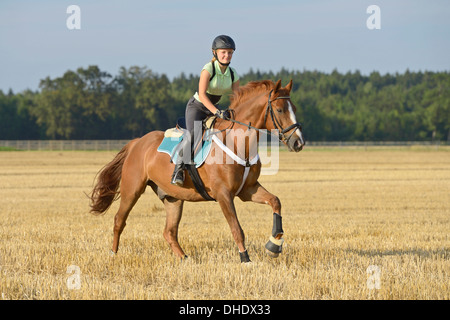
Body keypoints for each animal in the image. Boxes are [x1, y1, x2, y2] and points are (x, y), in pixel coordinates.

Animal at [89, 79, 304, 262]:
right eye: (279, 109)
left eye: (294, 109)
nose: (298, 143)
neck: (238, 143)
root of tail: (137, 142)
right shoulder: (224, 194)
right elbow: (237, 228)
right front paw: (245, 259)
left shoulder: (247, 190)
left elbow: (275, 202)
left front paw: (274, 245)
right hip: (132, 189)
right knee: (119, 220)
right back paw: (113, 254)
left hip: (173, 198)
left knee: (169, 232)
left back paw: (185, 258)